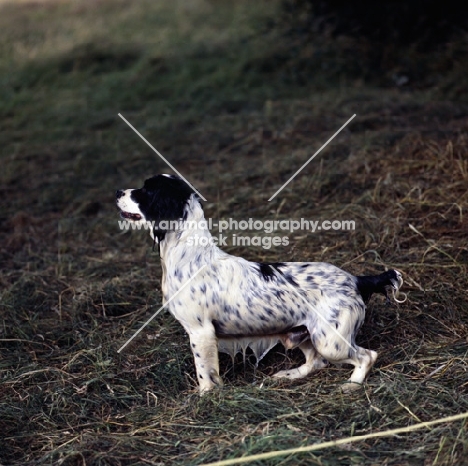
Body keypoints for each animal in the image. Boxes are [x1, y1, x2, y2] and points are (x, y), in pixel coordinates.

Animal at [115, 175, 404, 394]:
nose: (118, 191)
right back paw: (290, 374)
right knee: (315, 361)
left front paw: (205, 398)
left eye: (145, 190)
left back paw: (351, 385)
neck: (190, 256)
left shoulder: (200, 332)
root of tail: (355, 279)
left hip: (330, 340)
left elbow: (205, 373)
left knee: (366, 356)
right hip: (301, 332)